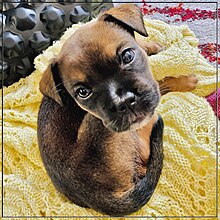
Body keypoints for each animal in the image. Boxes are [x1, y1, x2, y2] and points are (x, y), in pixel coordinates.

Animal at [37, 3, 199, 217]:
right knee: (147, 144)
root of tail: (96, 196)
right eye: (82, 92)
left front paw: (151, 46)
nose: (124, 102)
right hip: (104, 125)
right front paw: (186, 81)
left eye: (128, 56)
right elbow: (161, 83)